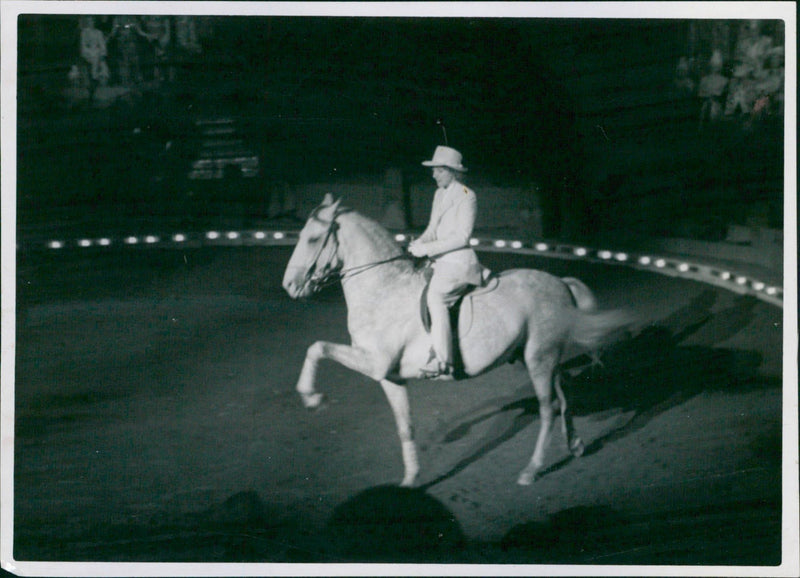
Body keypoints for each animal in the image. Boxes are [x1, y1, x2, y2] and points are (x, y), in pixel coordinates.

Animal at [284, 195, 636, 486]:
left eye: (313, 238)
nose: (289, 286)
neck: (384, 290)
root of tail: (561, 283)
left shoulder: (374, 363)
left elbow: (317, 347)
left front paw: (312, 398)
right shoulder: (390, 377)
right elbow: (405, 427)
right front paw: (411, 479)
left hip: (539, 358)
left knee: (548, 408)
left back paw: (531, 470)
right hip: (539, 357)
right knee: (562, 397)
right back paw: (575, 445)